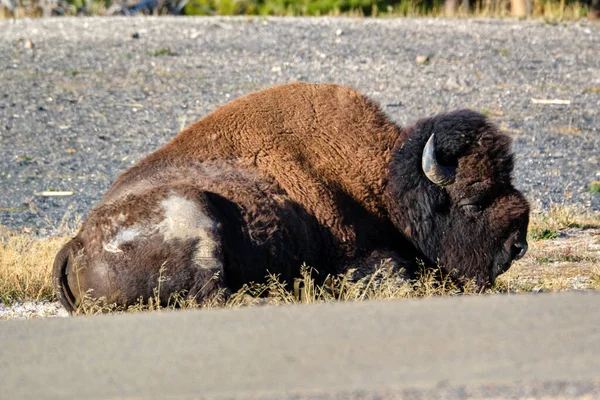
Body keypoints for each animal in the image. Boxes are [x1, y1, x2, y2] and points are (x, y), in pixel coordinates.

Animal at [52, 83, 528, 310]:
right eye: (474, 199)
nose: (517, 247)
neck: (385, 180)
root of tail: (76, 244)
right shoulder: (357, 257)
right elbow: (396, 275)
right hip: (194, 215)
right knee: (214, 296)